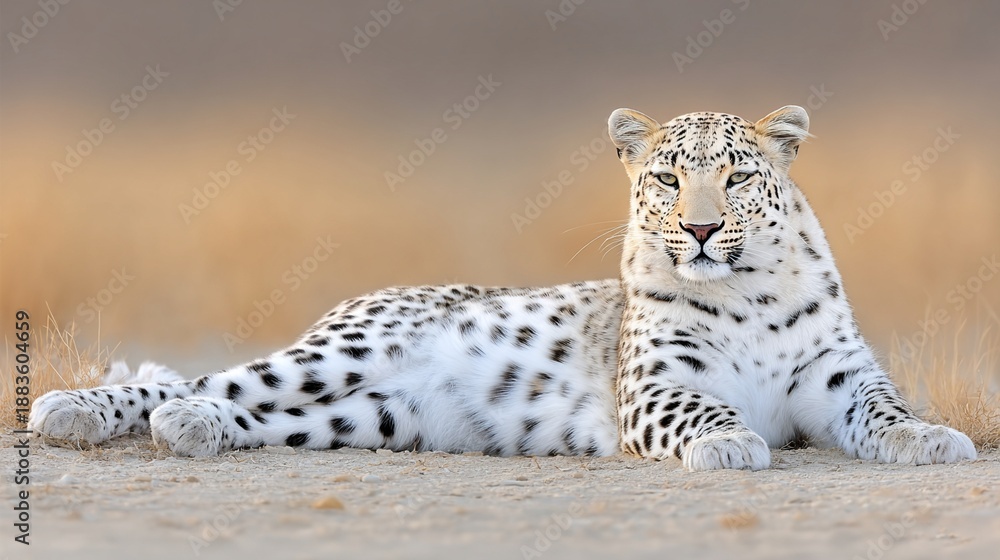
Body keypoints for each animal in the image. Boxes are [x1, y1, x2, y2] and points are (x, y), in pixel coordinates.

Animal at [28, 105, 977, 470]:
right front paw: (731, 444)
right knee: (196, 381)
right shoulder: (656, 388)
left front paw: (929, 438)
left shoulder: (838, 378)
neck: (748, 293)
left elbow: (885, 408)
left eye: (738, 177)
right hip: (346, 349)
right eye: (668, 179)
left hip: (371, 417)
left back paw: (194, 431)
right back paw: (80, 410)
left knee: (250, 414)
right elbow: (704, 409)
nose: (703, 230)